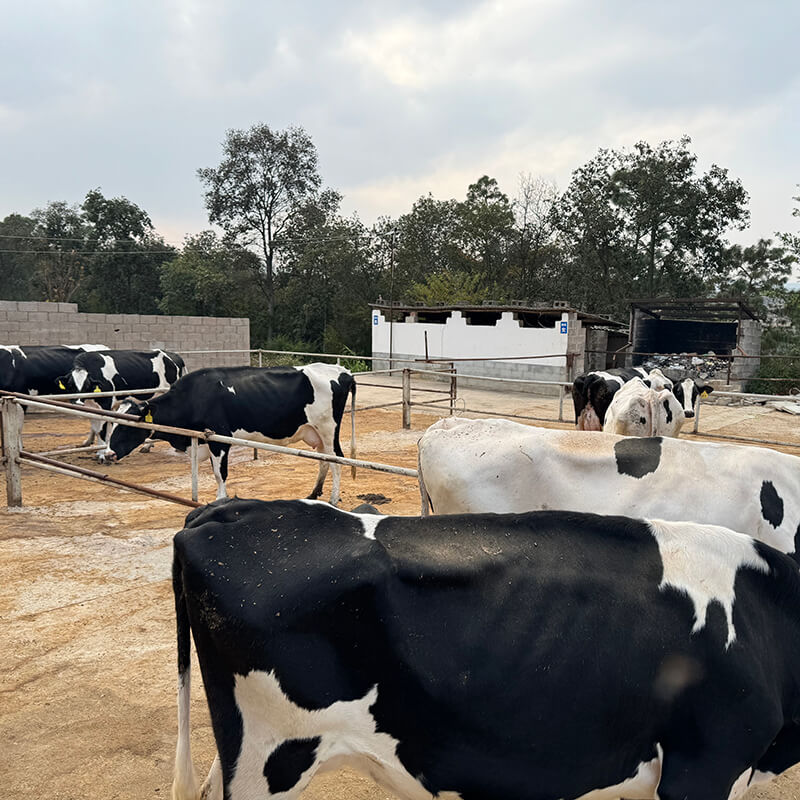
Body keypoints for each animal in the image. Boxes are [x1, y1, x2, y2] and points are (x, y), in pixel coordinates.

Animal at [56, 348, 186, 449]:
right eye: (71, 385)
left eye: (87, 386)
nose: (77, 403)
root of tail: (174, 354)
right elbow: (97, 427)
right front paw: (89, 443)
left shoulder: (105, 403)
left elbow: (102, 430)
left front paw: (102, 452)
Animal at [101, 363, 356, 505]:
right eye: (111, 423)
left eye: (127, 425)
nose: (108, 454)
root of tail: (342, 371)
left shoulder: (219, 439)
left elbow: (219, 474)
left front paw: (219, 500)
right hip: (316, 432)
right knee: (324, 460)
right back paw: (314, 494)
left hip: (328, 429)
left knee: (337, 460)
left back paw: (333, 498)